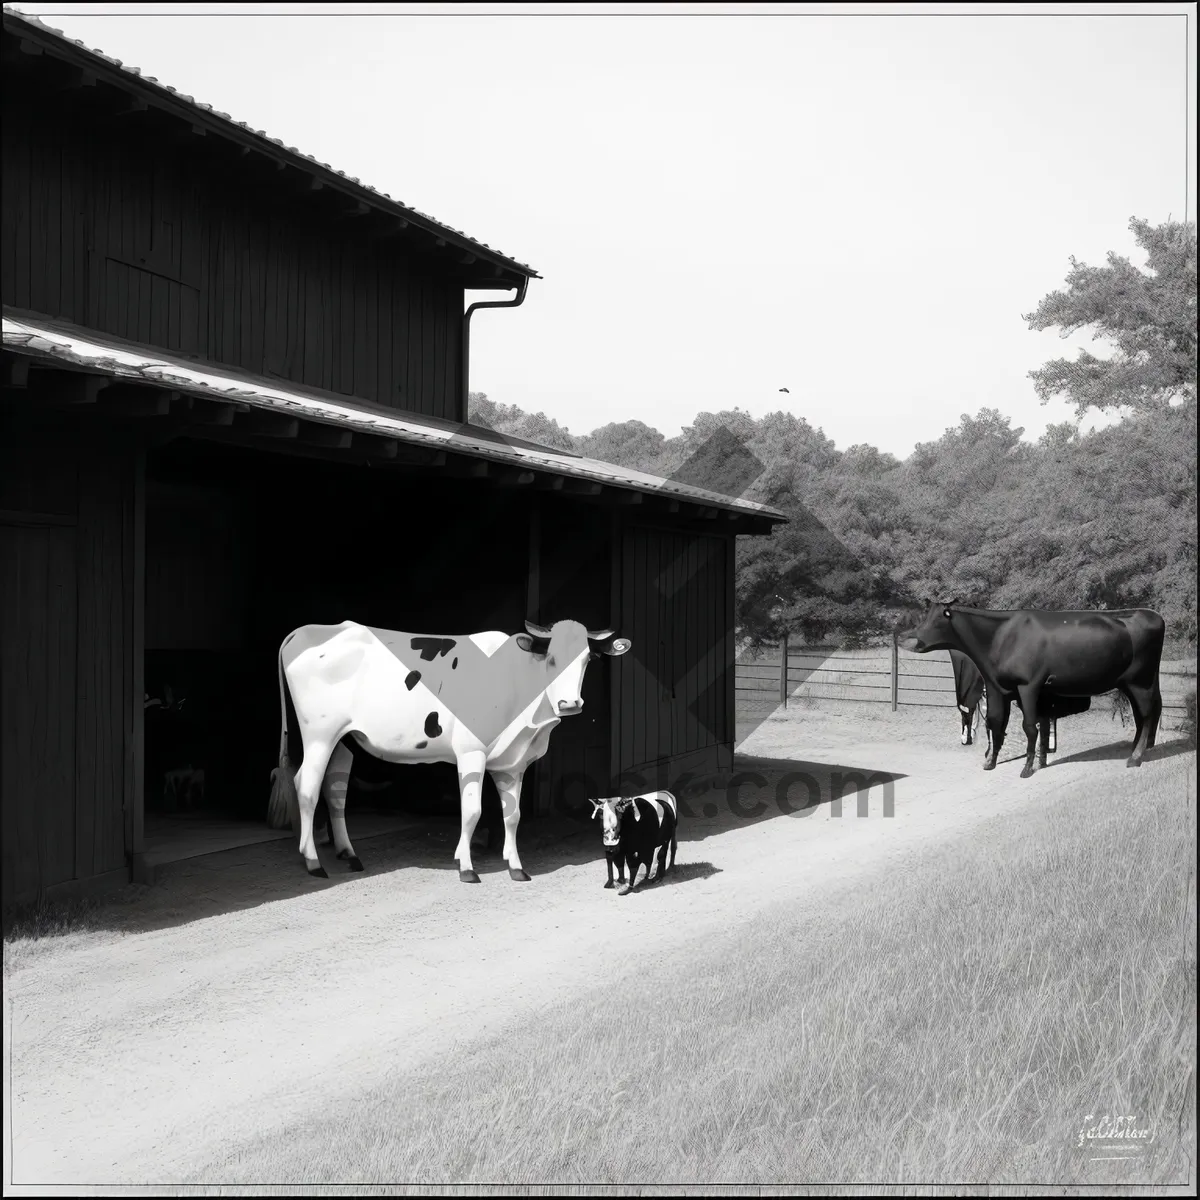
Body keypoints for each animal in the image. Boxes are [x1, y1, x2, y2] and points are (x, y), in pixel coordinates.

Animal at [271, 619, 628, 883]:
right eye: (552, 658)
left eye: (588, 659)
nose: (570, 703)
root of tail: (310, 629)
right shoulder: (471, 752)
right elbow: (472, 812)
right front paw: (467, 868)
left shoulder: (513, 763)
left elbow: (513, 816)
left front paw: (516, 867)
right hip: (318, 735)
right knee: (306, 787)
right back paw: (313, 862)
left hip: (343, 740)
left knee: (335, 791)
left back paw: (349, 854)